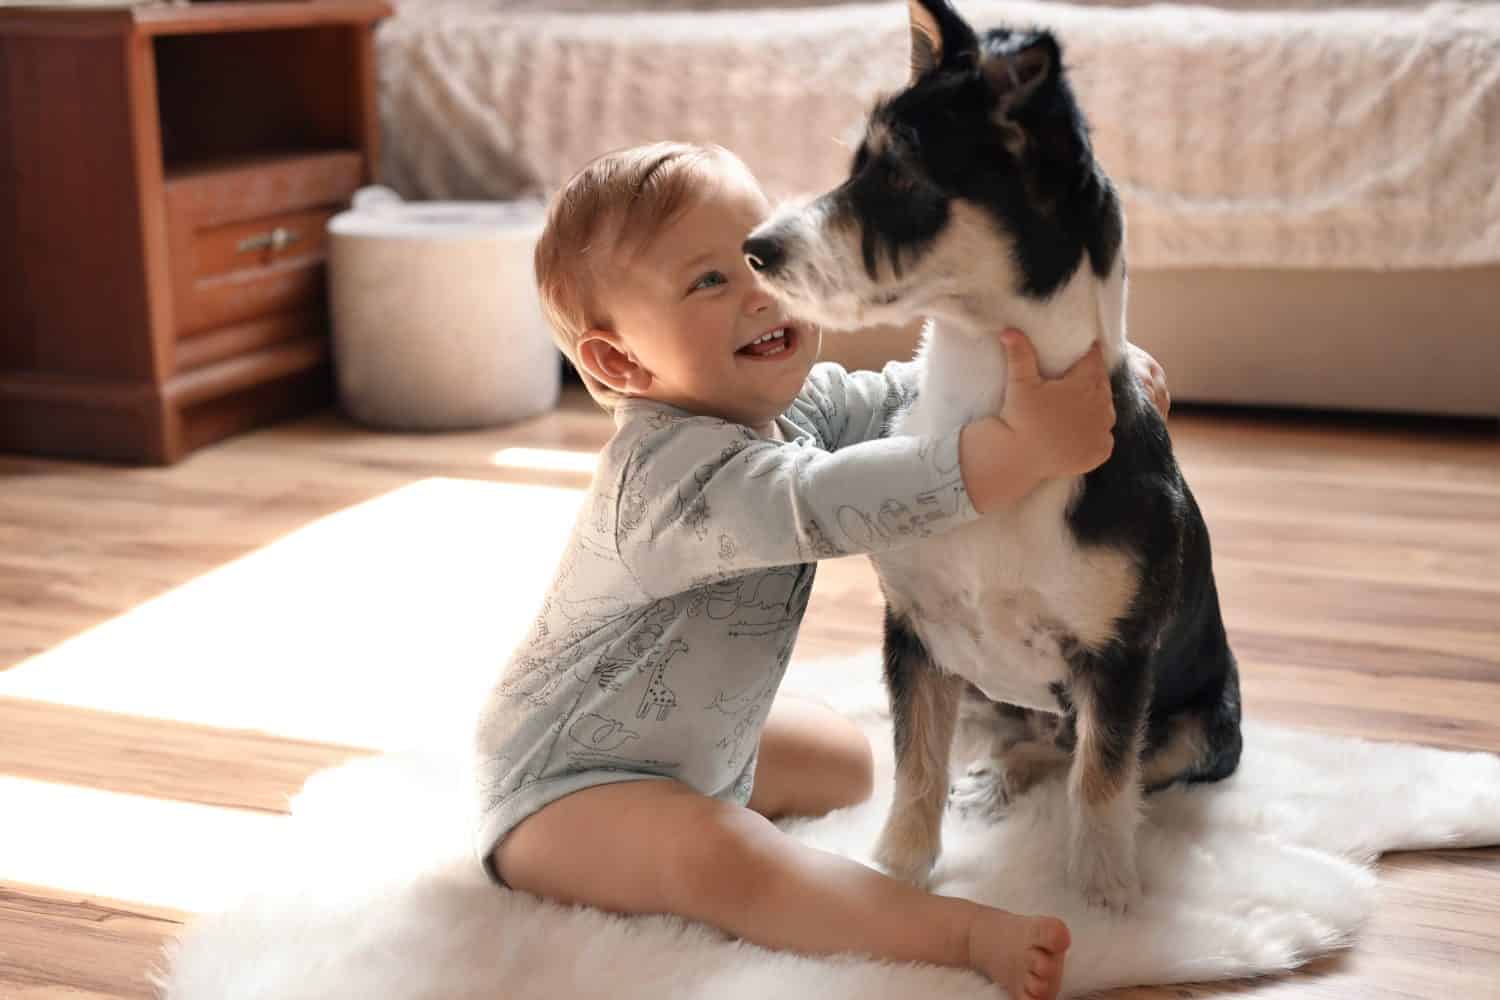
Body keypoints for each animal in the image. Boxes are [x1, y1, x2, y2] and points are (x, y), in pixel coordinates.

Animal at [741, 0, 1242, 911]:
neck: (991, 414)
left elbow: (1103, 779)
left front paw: (1106, 896)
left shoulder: (1119, 662)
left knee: (1092, 753)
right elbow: (915, 764)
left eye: (901, 176)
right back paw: (990, 778)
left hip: (1202, 729)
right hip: (980, 690)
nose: (757, 247)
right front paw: (897, 871)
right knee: (1014, 742)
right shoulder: (912, 638)